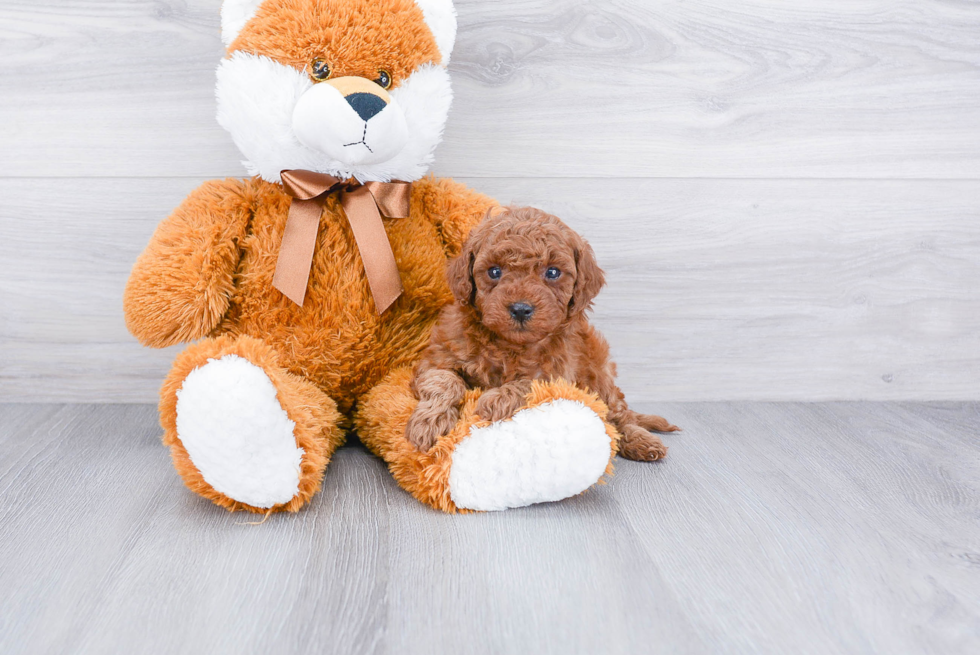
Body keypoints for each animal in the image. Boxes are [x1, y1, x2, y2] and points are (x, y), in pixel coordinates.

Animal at [404, 208, 672, 458]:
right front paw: (428, 424)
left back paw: (642, 441)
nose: (521, 309)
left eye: (552, 272)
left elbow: (529, 383)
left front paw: (496, 399)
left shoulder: (558, 375)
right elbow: (444, 381)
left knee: (618, 415)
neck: (509, 345)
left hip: (601, 373)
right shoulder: (437, 358)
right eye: (494, 271)